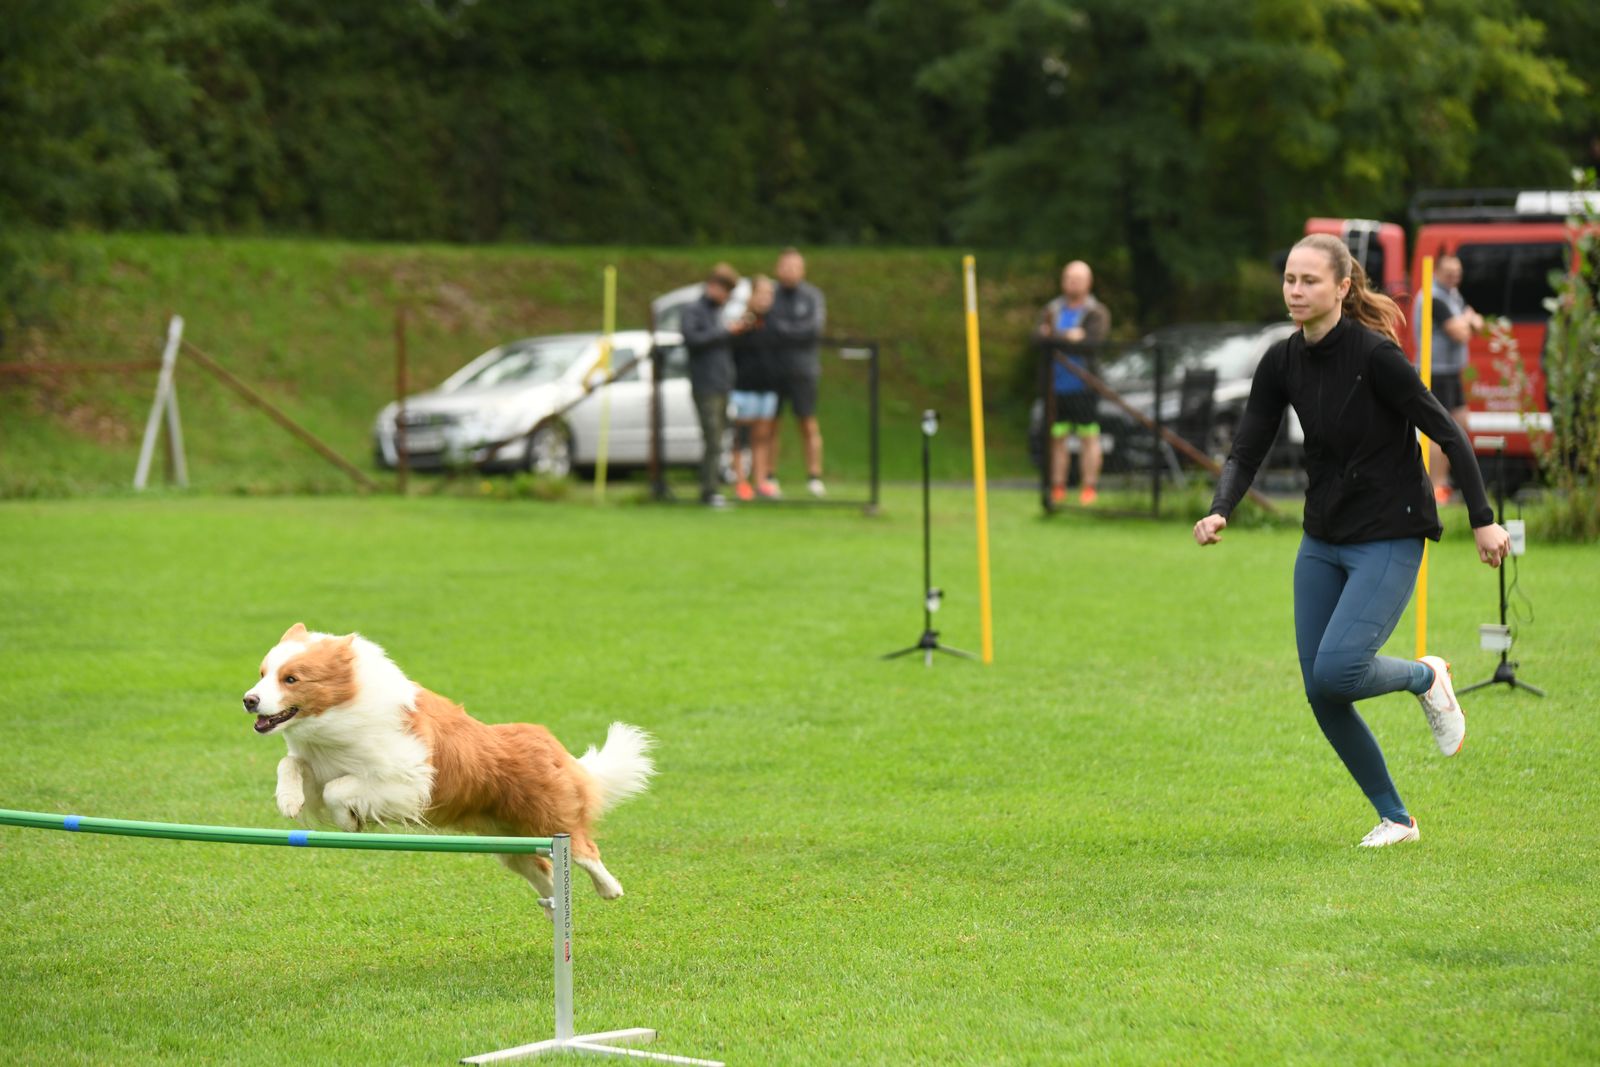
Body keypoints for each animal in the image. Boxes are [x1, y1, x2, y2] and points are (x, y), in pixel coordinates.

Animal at [242, 623, 654, 913]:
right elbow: (291, 764)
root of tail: (553, 745)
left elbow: (338, 789)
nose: (249, 700)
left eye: (291, 679)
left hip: (549, 821)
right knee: (545, 872)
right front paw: (289, 801)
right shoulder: (320, 761)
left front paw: (349, 821)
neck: (341, 711)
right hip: (510, 843)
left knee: (585, 850)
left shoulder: (406, 779)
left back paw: (609, 889)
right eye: (262, 673)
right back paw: (555, 912)